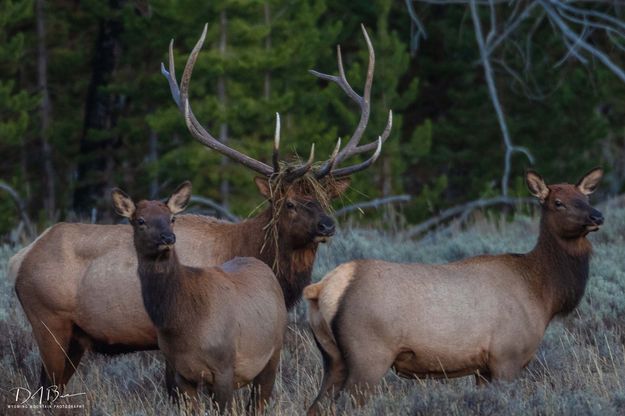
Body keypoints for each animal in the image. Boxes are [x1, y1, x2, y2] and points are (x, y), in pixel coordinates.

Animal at [111, 183, 286, 412]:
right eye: (140, 220)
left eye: (172, 218)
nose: (168, 238)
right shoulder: (180, 372)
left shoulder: (224, 366)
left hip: (273, 352)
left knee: (259, 401)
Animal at [302, 168, 604, 412]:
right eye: (558, 202)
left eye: (586, 198)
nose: (597, 216)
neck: (543, 294)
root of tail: (322, 287)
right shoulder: (507, 355)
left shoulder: (483, 368)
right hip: (368, 356)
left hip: (333, 357)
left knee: (317, 407)